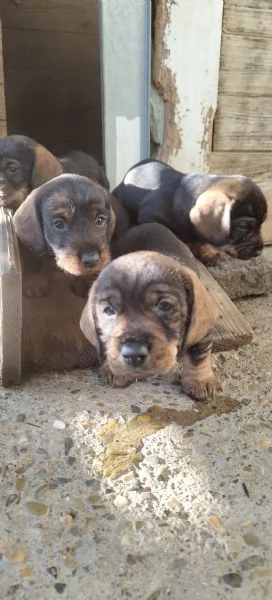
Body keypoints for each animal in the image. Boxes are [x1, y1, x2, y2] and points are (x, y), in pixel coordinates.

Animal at [79, 220, 220, 398]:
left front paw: (200, 380)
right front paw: (114, 369)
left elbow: (198, 354)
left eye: (165, 305)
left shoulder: (202, 331)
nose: (133, 354)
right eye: (109, 311)